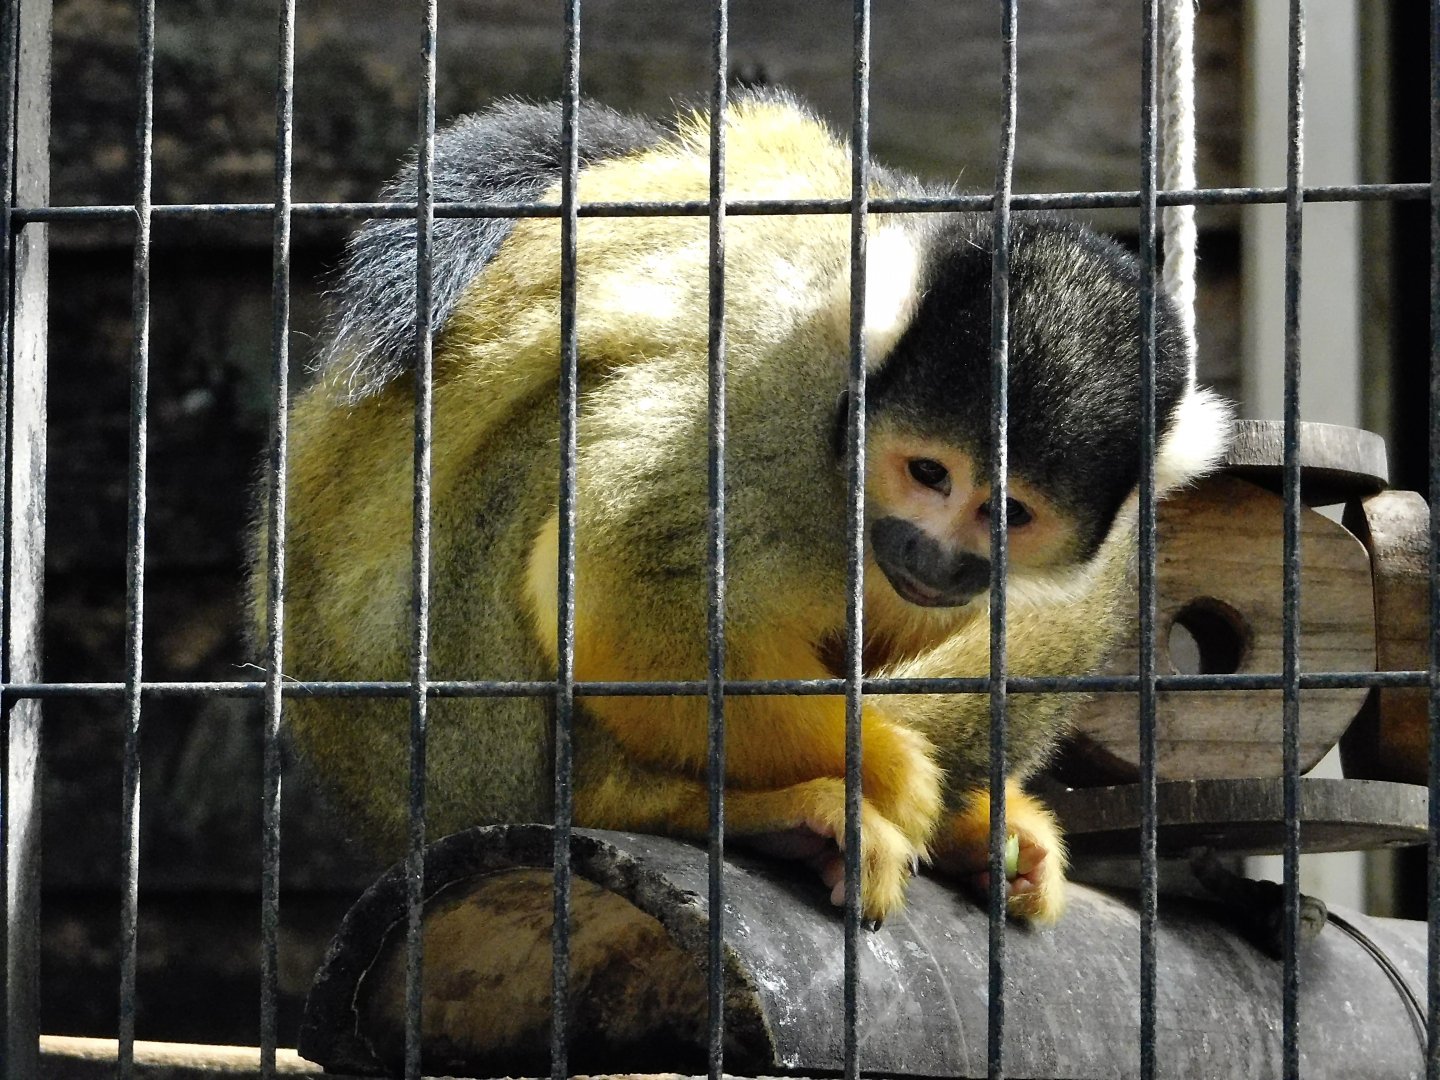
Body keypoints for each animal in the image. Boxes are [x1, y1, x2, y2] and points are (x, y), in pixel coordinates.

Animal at [256, 91, 1231, 926]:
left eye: (1011, 513)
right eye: (929, 473)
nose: (933, 554)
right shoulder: (768, 400)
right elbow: (629, 593)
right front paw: (883, 768)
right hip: (468, 734)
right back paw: (680, 804)